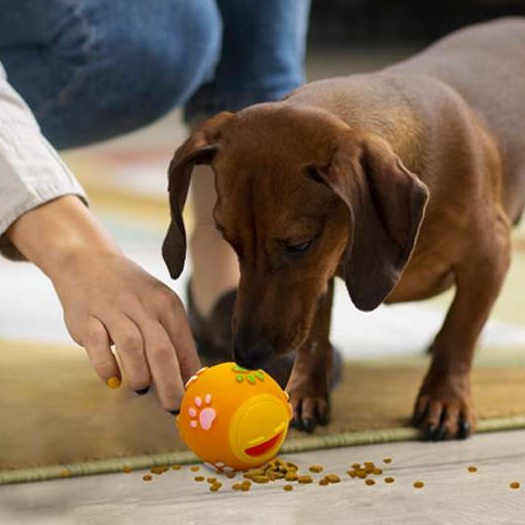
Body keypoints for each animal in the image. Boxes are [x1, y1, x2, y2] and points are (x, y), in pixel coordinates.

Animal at [163, 18, 524, 438]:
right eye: (228, 239)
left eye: (299, 244)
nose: (248, 355)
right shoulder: (321, 275)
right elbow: (316, 335)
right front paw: (305, 392)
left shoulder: (490, 256)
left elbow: (459, 331)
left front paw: (444, 399)